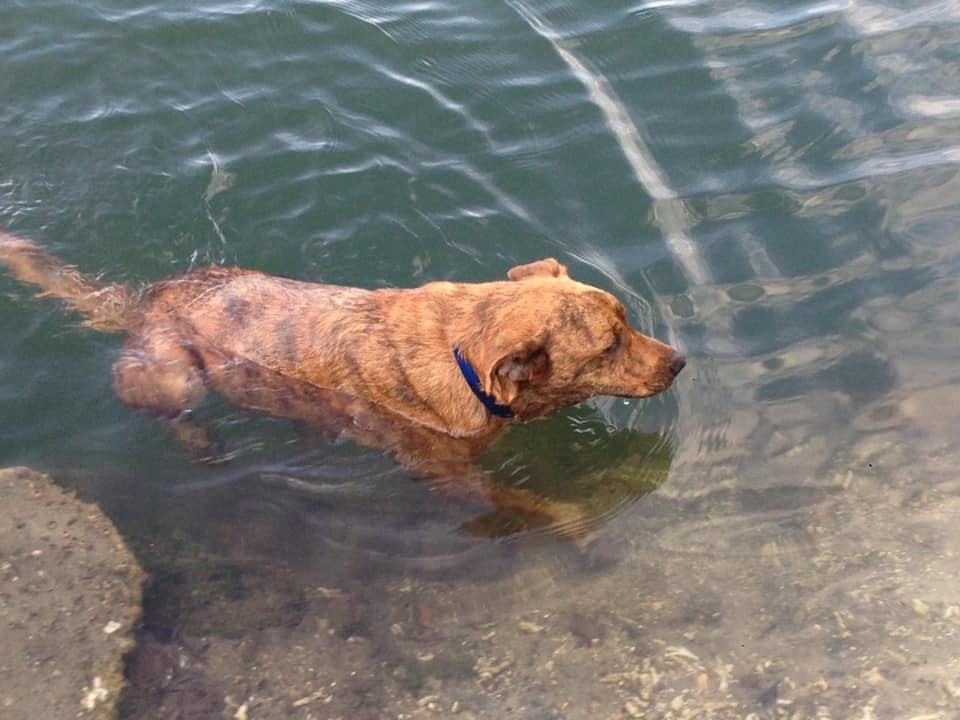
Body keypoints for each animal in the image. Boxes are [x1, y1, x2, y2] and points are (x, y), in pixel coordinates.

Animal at [0, 228, 684, 536]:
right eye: (609, 344)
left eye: (628, 319)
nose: (679, 361)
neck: (465, 350)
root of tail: (140, 302)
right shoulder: (444, 475)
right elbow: (524, 501)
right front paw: (572, 515)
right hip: (176, 378)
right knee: (172, 414)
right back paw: (203, 444)